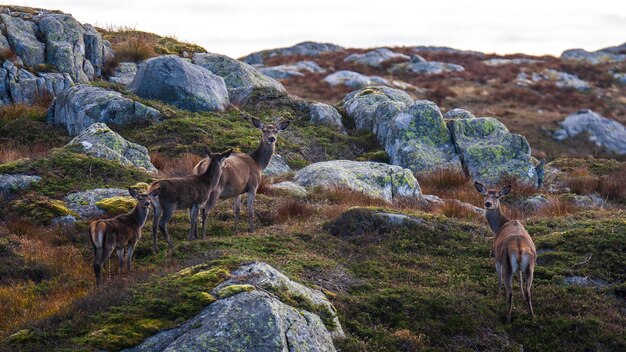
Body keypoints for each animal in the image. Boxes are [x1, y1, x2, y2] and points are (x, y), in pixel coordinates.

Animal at [476, 183, 532, 324]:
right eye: (485, 195)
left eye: (497, 196)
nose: (488, 204)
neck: (499, 226)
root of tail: (519, 249)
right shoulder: (520, 269)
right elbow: (520, 279)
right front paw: (522, 296)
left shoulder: (496, 258)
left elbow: (498, 278)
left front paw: (498, 295)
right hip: (531, 266)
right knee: (529, 291)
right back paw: (532, 316)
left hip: (507, 265)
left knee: (510, 293)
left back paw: (507, 320)